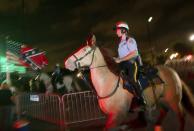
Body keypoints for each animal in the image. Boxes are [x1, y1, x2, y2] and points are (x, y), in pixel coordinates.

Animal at [64, 34, 194, 130]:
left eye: (85, 50)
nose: (67, 62)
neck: (108, 84)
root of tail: (171, 70)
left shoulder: (118, 115)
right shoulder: (112, 117)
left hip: (173, 100)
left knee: (182, 116)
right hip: (160, 99)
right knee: (164, 111)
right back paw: (157, 125)